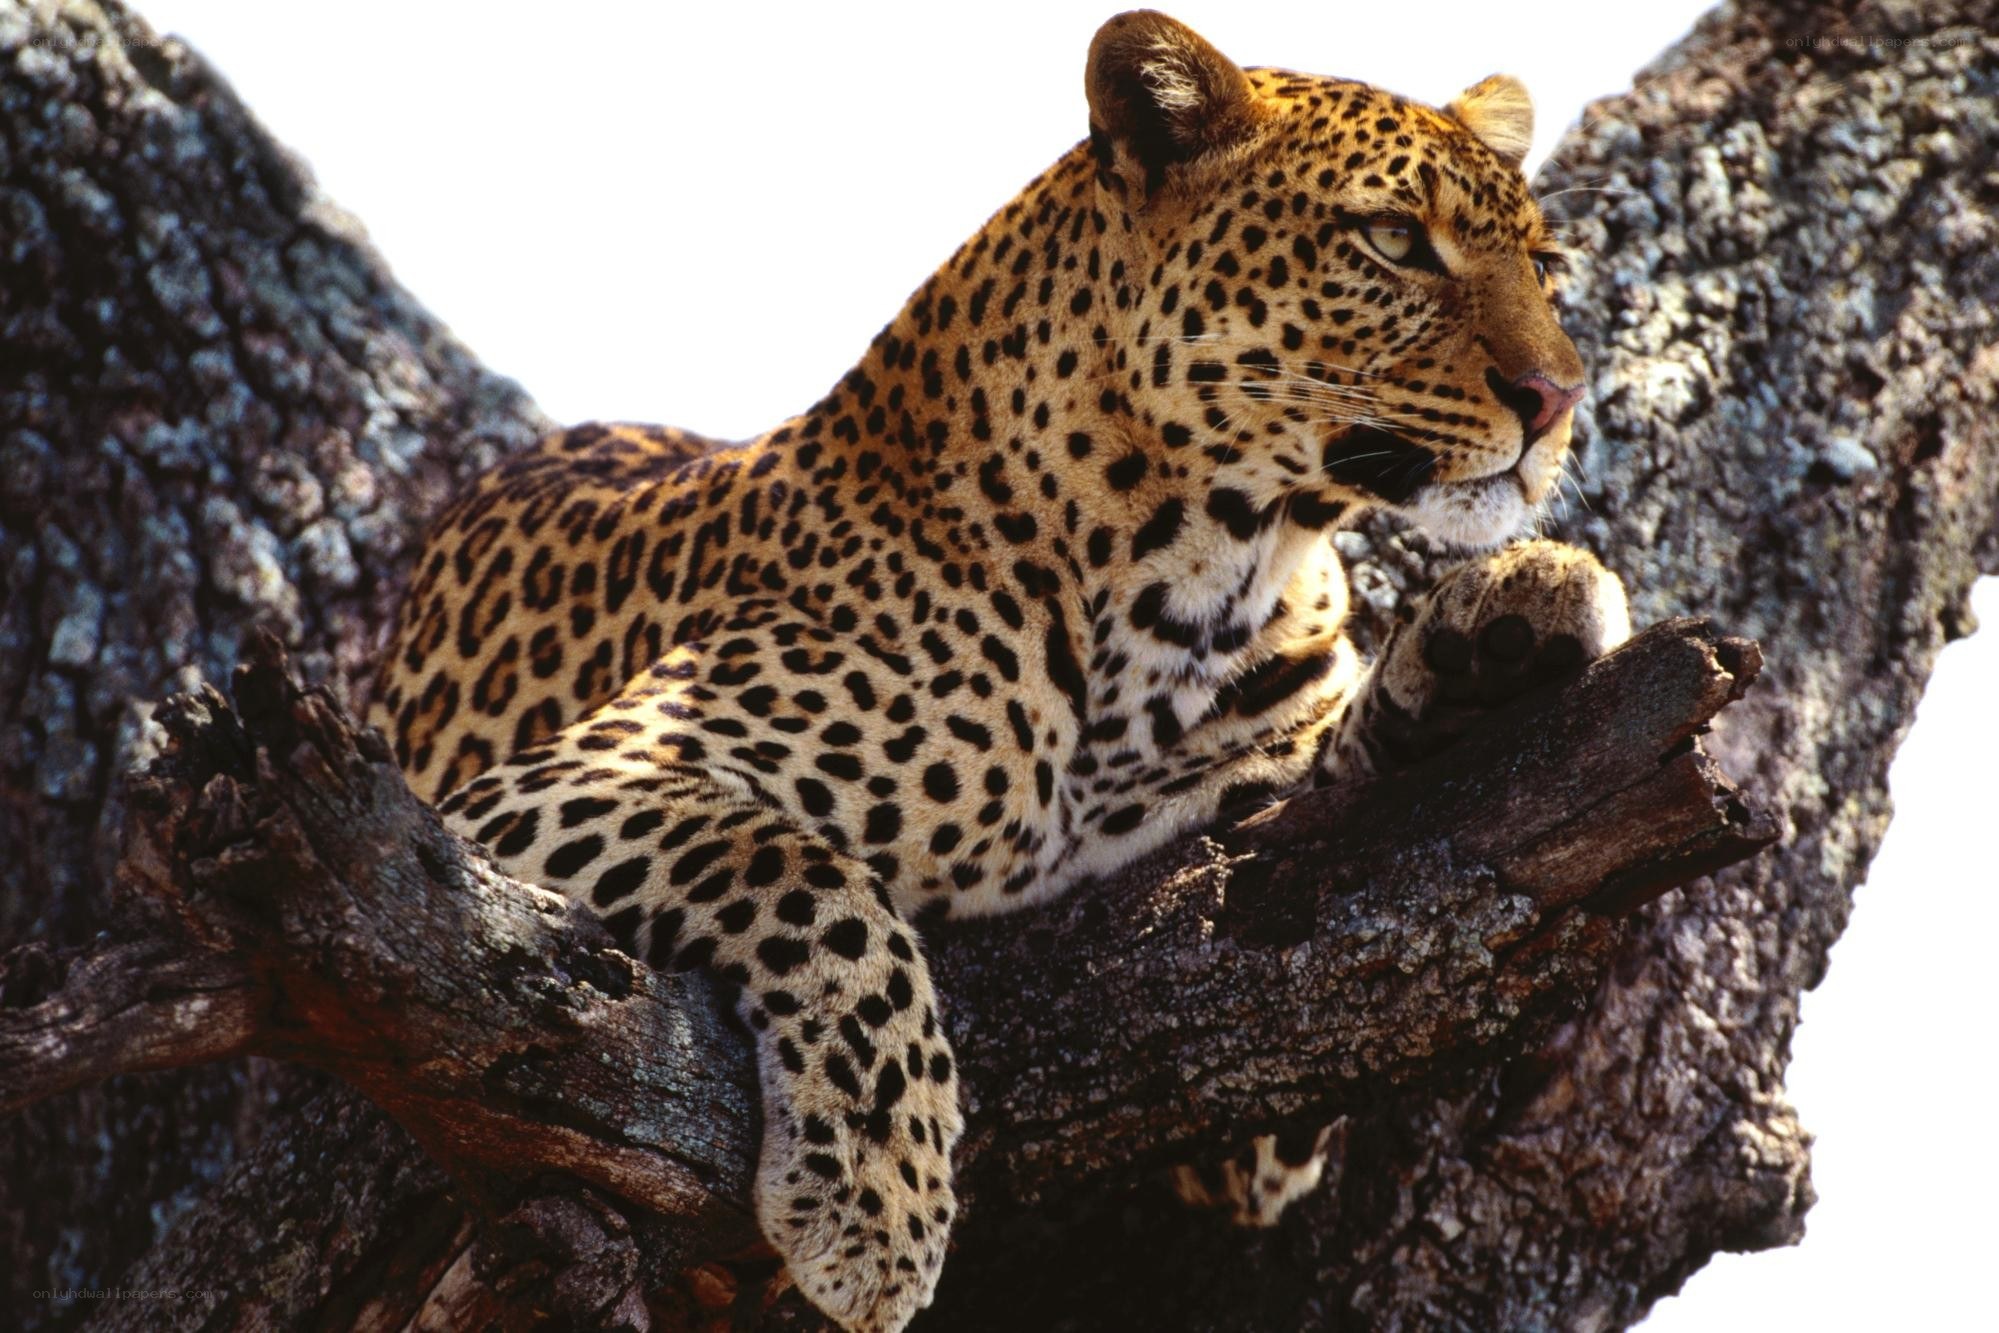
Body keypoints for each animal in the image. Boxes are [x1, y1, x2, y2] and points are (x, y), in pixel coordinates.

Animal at [370, 11, 1630, 1330]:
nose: (1556, 397)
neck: (1197, 575)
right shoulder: (539, 793)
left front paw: (1492, 643)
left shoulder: (1244, 1074)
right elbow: (812, 880)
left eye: (1544, 266)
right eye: (1392, 241)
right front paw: (878, 1193)